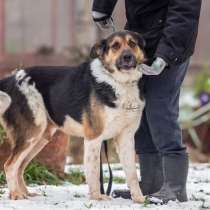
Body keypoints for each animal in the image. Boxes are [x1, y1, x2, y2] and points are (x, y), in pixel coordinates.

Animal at [0, 30, 145, 203]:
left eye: (132, 43)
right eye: (115, 46)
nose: (127, 57)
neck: (118, 82)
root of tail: (10, 79)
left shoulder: (126, 138)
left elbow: (132, 174)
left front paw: (139, 199)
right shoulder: (93, 137)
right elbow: (94, 171)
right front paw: (97, 196)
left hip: (40, 137)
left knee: (20, 166)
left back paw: (25, 193)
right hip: (31, 133)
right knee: (10, 165)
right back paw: (16, 194)